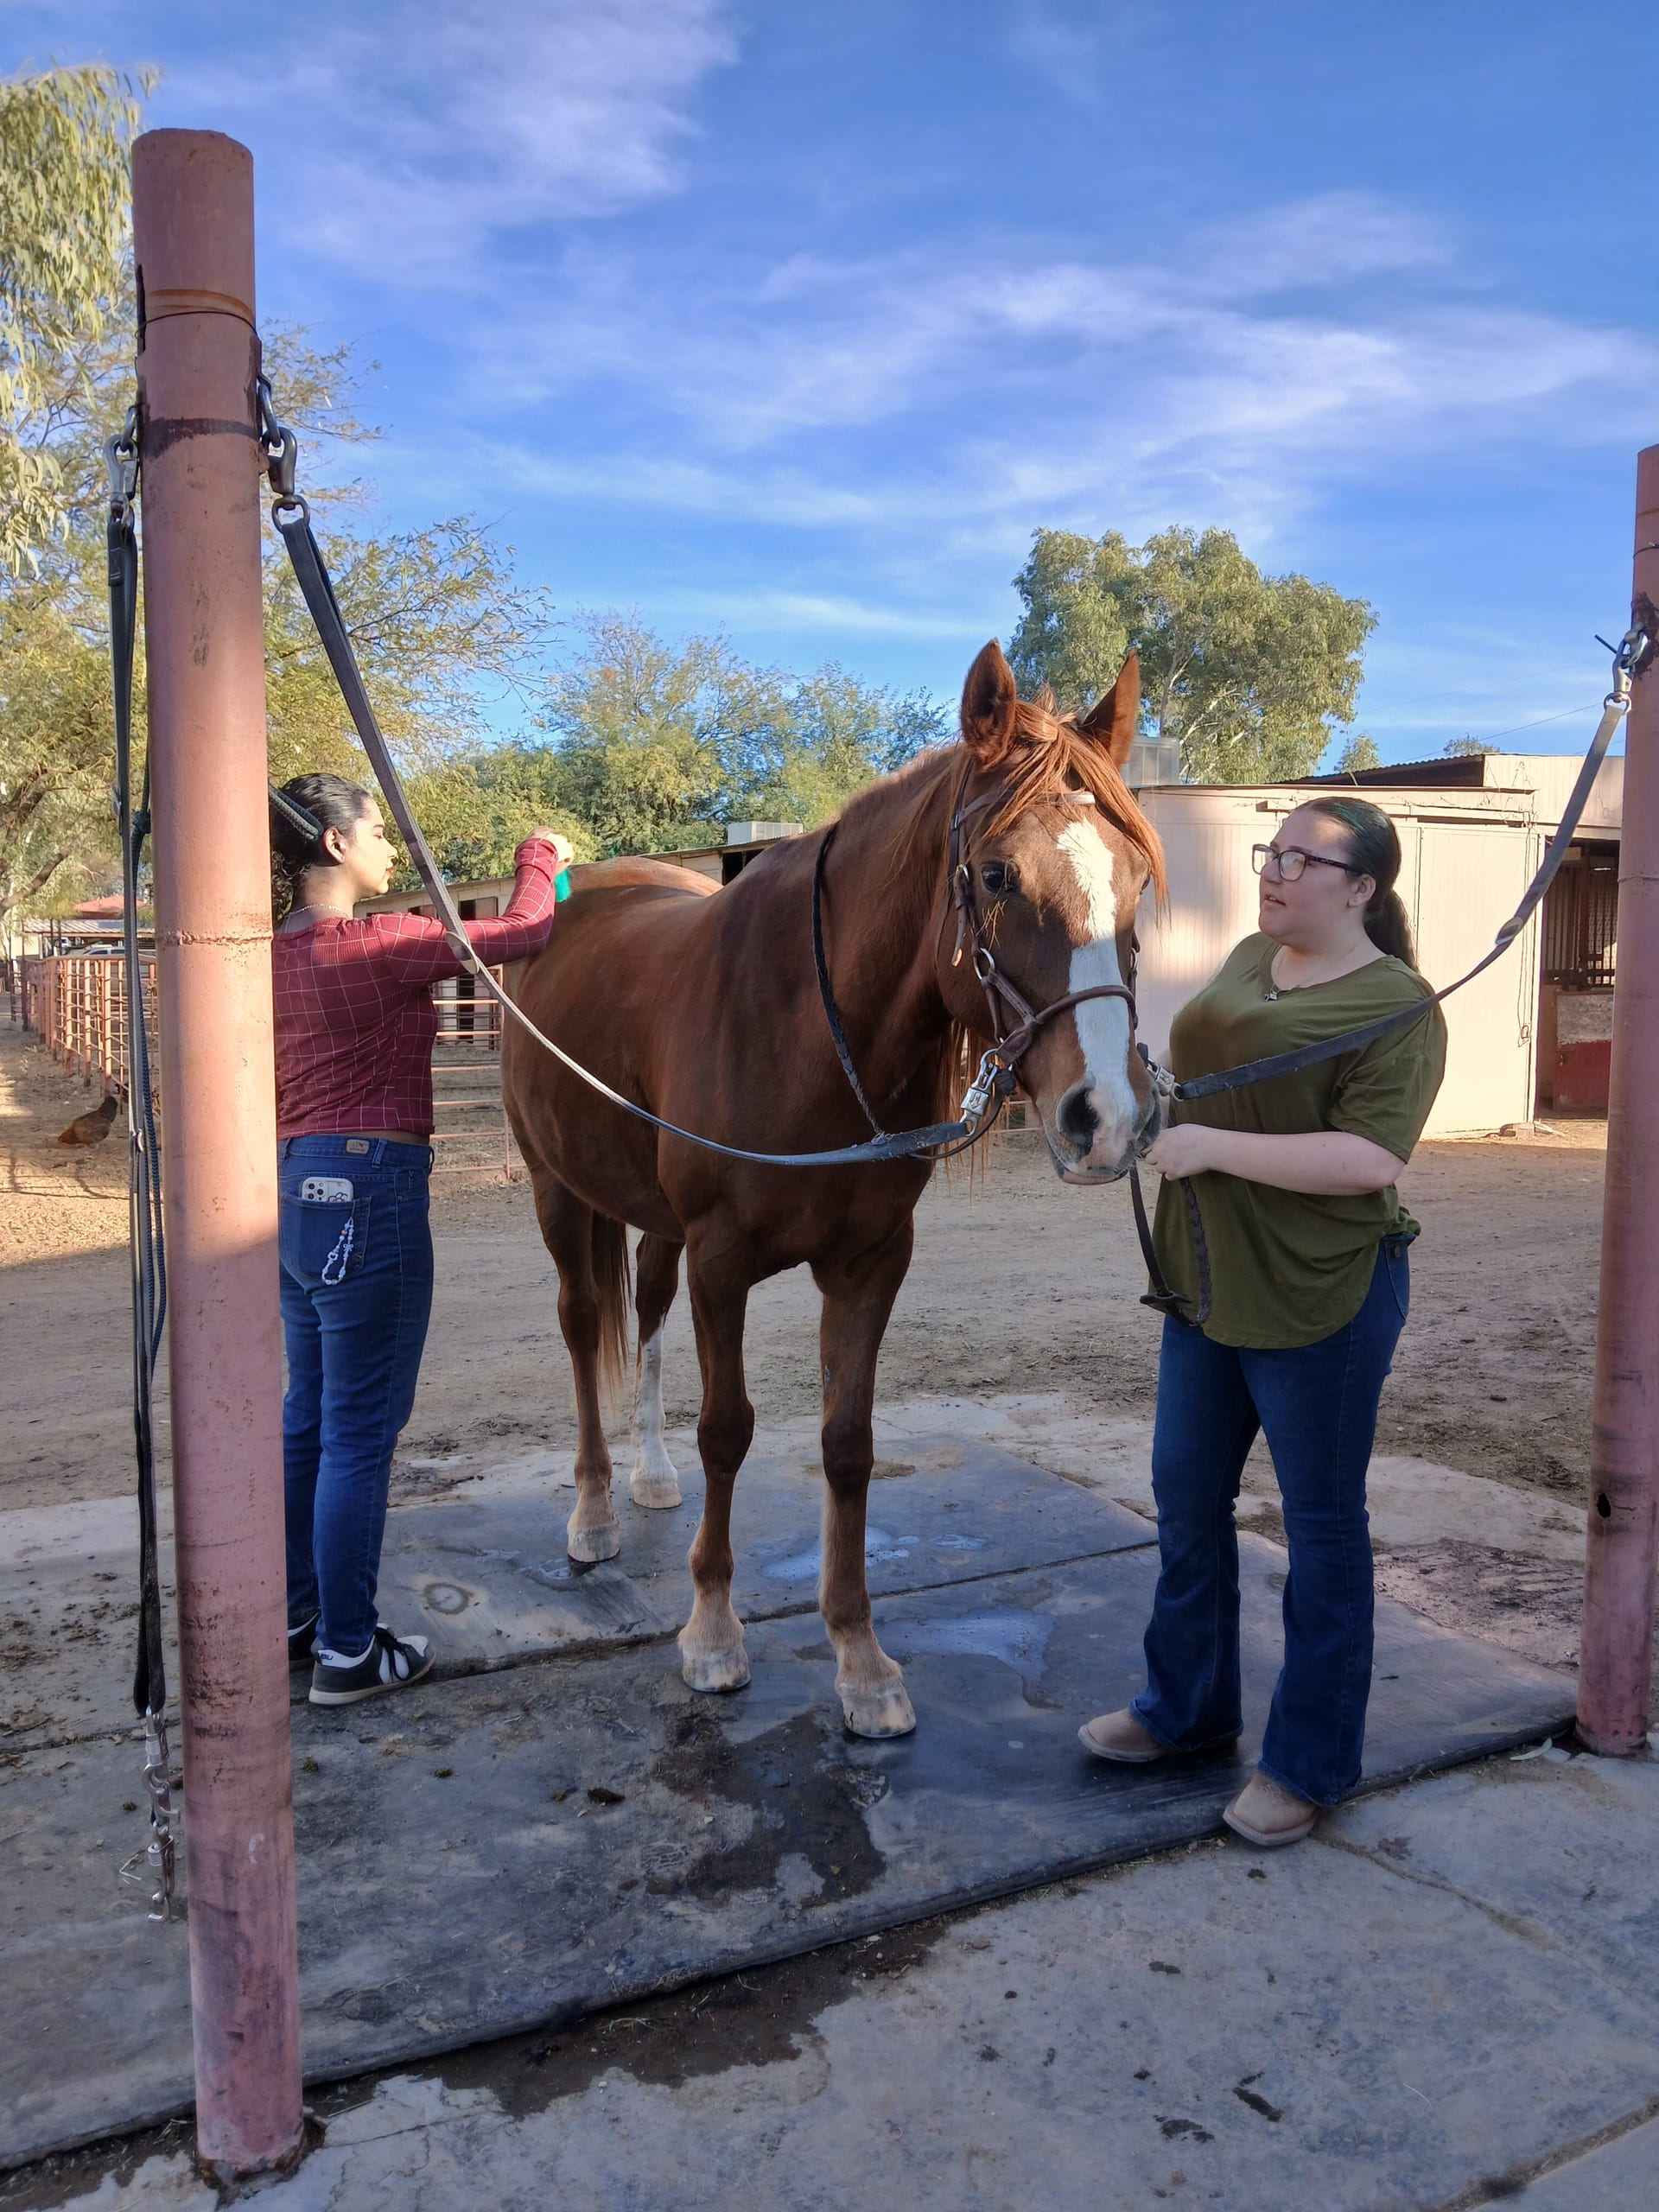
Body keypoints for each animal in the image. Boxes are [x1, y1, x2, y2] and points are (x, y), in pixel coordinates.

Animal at [501, 639, 1165, 1738]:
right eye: (995, 873)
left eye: (1140, 881)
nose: (1106, 1114)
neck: (811, 1025)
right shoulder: (724, 1259)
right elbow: (728, 1431)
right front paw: (713, 1632)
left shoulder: (869, 1262)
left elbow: (847, 1443)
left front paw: (860, 1659)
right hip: (558, 1192)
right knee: (580, 1321)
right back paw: (594, 1509)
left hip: (653, 1221)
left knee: (644, 1315)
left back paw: (648, 1476)